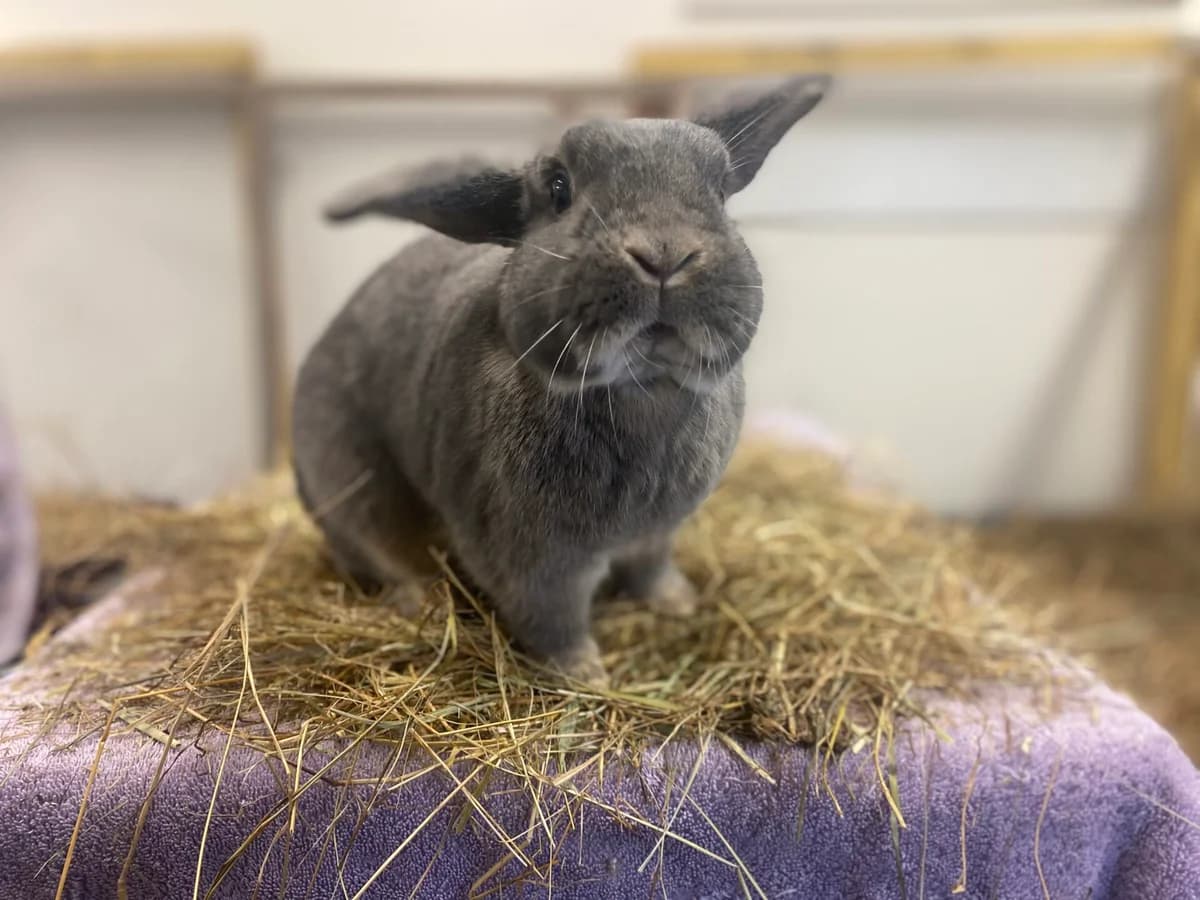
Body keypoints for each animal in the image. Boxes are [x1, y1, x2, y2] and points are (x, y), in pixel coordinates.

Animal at [292, 75, 830, 684]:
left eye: (719, 189)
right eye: (558, 187)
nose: (664, 254)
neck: (641, 390)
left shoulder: (655, 537)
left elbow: (650, 569)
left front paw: (678, 602)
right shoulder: (532, 563)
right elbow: (554, 618)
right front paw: (585, 675)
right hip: (349, 486)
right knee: (383, 551)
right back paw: (417, 601)